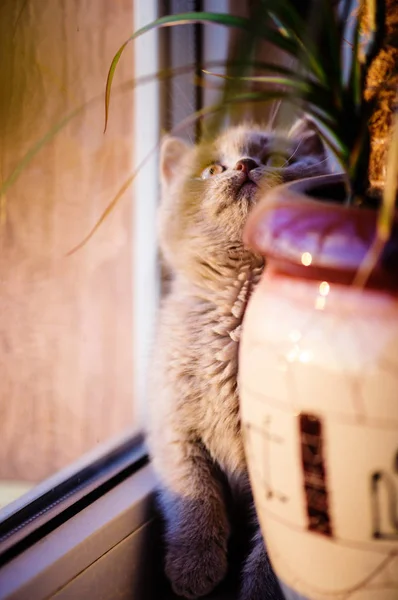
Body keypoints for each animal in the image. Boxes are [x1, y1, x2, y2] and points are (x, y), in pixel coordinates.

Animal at [148, 118, 328, 600]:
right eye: (213, 169)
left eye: (278, 159)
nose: (245, 165)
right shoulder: (173, 429)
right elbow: (194, 495)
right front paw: (194, 565)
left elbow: (275, 549)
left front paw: (258, 591)